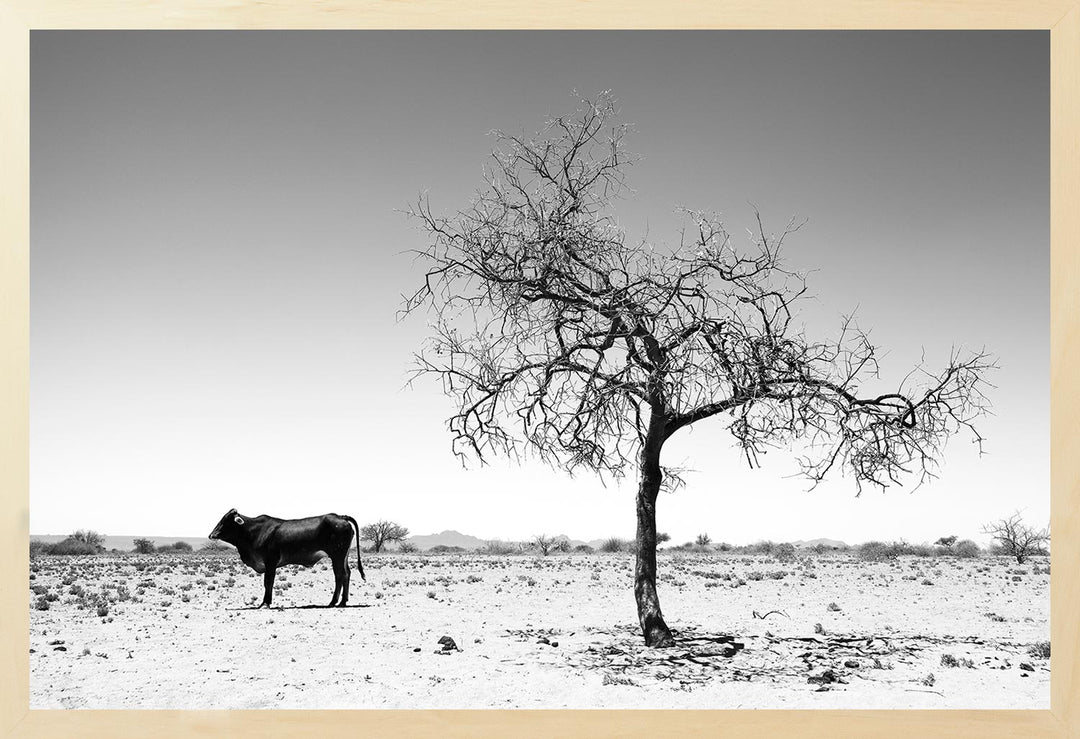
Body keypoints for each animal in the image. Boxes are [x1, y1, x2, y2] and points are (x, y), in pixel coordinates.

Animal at [208, 509, 366, 608]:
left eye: (226, 520)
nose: (211, 534)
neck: (254, 532)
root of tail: (340, 516)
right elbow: (267, 583)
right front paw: (264, 602)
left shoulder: (270, 563)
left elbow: (269, 582)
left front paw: (265, 603)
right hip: (343, 556)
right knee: (347, 574)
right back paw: (342, 601)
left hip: (337, 555)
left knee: (340, 575)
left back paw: (334, 602)